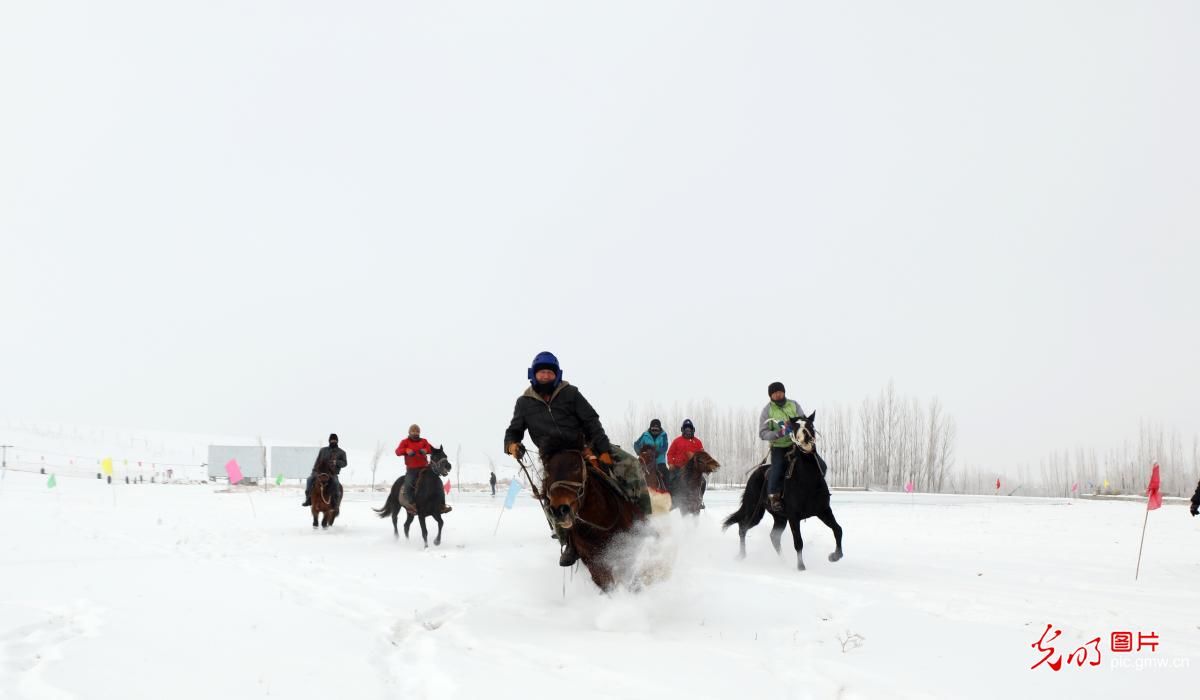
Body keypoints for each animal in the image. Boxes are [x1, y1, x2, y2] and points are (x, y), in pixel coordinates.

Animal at [720, 413, 844, 571]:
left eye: (810, 425)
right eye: (795, 426)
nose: (806, 437)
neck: (807, 480)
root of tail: (757, 472)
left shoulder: (823, 510)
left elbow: (838, 529)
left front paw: (835, 556)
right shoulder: (793, 516)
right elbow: (798, 542)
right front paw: (801, 567)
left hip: (779, 517)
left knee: (773, 536)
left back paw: (783, 561)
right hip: (754, 511)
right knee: (743, 527)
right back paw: (741, 556)